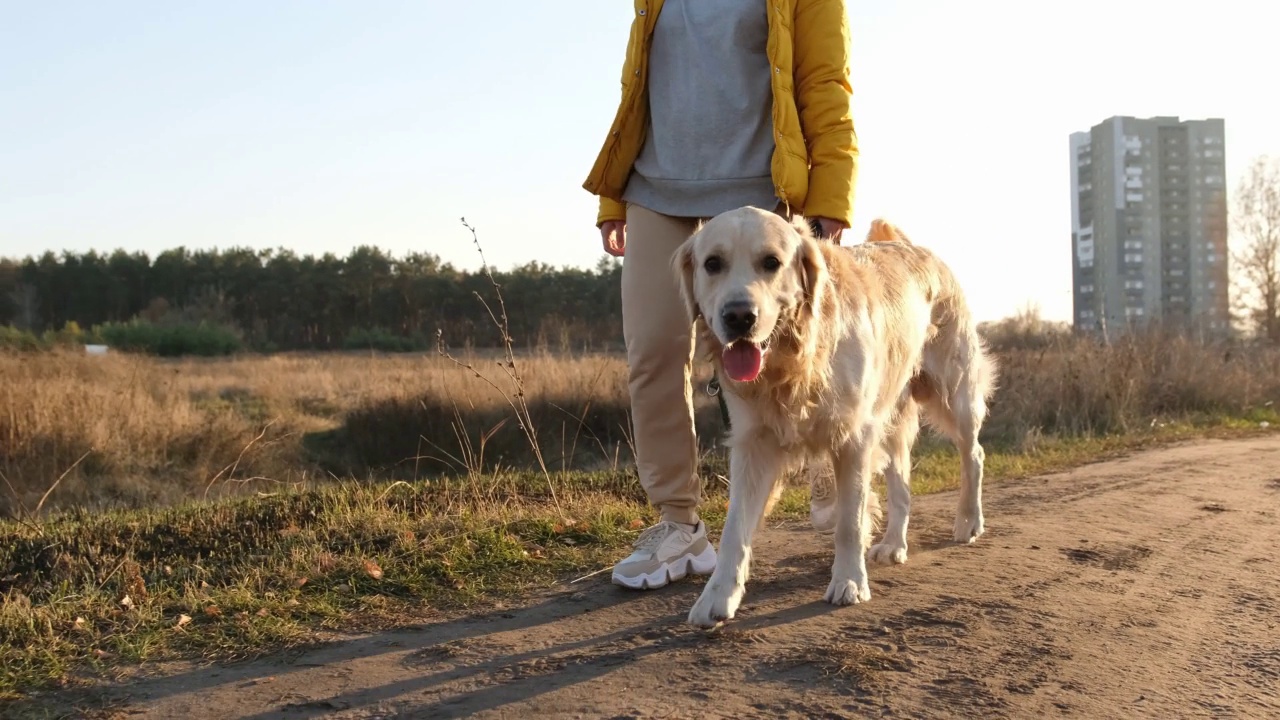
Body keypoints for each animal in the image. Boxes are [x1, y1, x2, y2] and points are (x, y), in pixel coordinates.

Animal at [675, 204, 993, 625]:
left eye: (771, 262)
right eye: (713, 264)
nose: (739, 316)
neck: (795, 360)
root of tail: (914, 247)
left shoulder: (853, 438)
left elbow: (848, 520)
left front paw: (849, 582)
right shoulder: (753, 443)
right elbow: (734, 530)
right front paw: (717, 597)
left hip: (954, 392)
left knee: (974, 454)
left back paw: (969, 521)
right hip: (892, 416)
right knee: (902, 482)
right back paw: (894, 544)